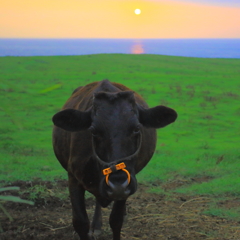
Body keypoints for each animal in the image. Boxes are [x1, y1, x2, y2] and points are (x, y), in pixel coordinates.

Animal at [52, 79, 176, 239]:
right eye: (93, 131)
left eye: (137, 128)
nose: (117, 185)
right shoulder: (73, 177)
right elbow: (80, 222)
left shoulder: (127, 185)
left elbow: (116, 220)